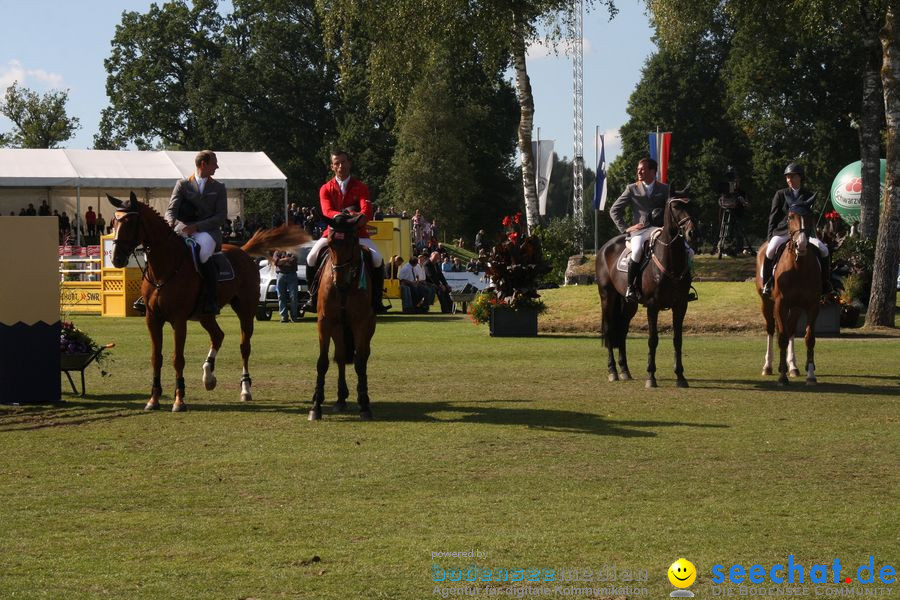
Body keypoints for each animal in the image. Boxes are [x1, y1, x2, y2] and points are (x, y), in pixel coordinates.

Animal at [106, 195, 306, 410]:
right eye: (114, 222)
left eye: (129, 222)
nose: (116, 258)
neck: (164, 269)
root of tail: (242, 250)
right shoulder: (153, 319)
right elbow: (156, 358)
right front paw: (154, 399)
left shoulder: (179, 320)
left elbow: (178, 359)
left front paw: (179, 399)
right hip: (205, 315)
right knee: (218, 335)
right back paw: (208, 376)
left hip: (245, 310)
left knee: (244, 347)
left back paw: (245, 389)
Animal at [310, 212, 376, 422]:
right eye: (331, 243)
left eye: (353, 240)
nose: (339, 281)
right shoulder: (325, 322)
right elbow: (322, 362)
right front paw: (316, 406)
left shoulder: (360, 323)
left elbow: (360, 362)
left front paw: (364, 406)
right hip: (338, 328)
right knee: (339, 357)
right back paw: (340, 399)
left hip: (368, 327)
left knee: (362, 356)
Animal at [596, 192, 704, 390]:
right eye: (675, 206)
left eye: (692, 205)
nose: (692, 233)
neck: (671, 261)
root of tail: (605, 247)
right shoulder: (653, 306)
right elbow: (653, 340)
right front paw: (651, 377)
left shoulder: (680, 306)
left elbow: (678, 340)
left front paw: (680, 376)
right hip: (607, 296)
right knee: (609, 329)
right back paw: (613, 371)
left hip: (628, 303)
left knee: (622, 330)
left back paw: (625, 370)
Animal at [752, 205, 824, 384]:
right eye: (790, 216)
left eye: (810, 215)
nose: (801, 244)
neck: (799, 267)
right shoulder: (780, 304)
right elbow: (782, 337)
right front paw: (782, 377)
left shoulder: (812, 305)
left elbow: (809, 338)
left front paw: (810, 375)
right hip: (766, 302)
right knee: (772, 329)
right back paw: (768, 366)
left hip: (796, 307)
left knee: (790, 328)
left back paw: (792, 366)